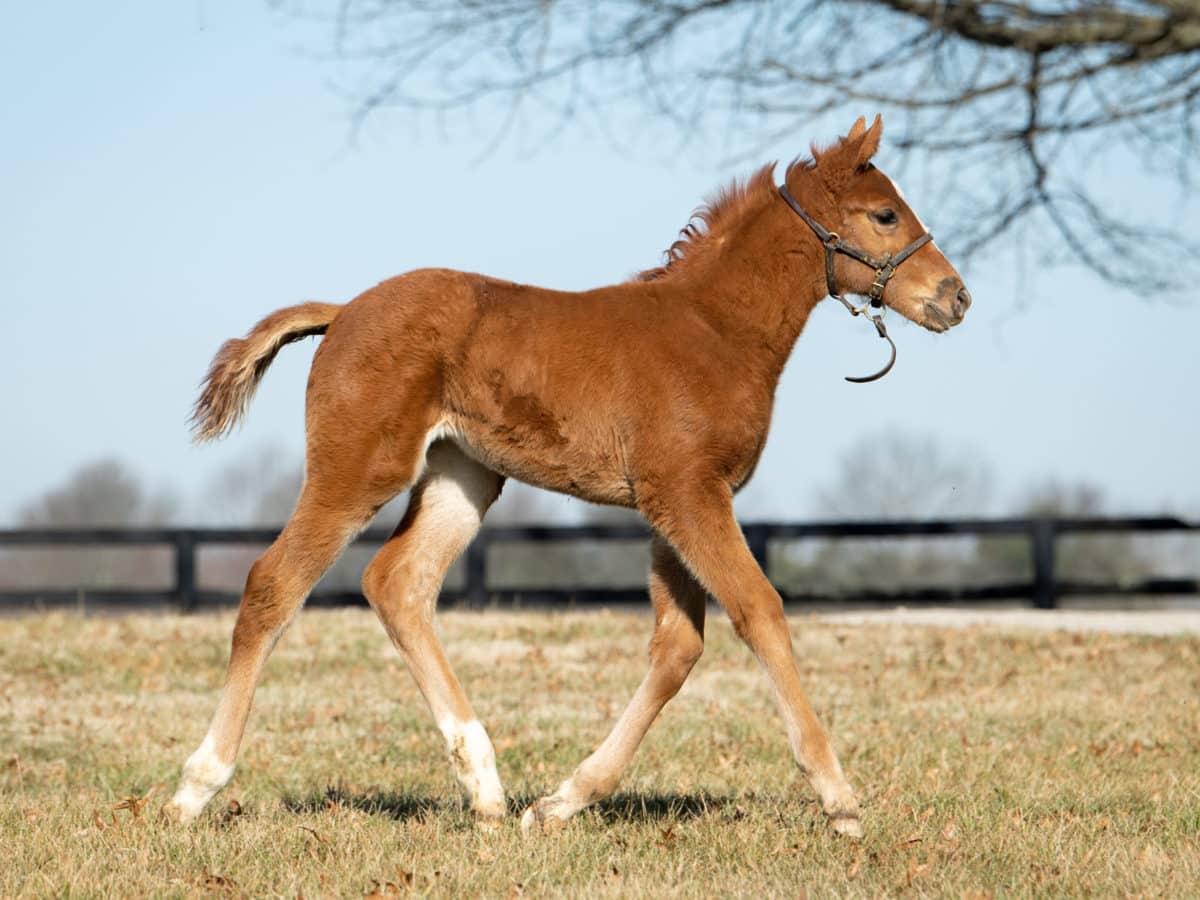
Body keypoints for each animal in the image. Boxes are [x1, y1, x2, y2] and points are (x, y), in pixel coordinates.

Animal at [169, 118, 969, 840]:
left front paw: (559, 804)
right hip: (359, 465)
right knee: (275, 583)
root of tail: (341, 313)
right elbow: (760, 611)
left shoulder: (675, 502)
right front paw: (840, 800)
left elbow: (677, 648)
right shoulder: (688, 494)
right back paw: (196, 787)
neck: (715, 330)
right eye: (885, 214)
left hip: (464, 477)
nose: (955, 297)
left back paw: (486, 791)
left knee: (398, 584)